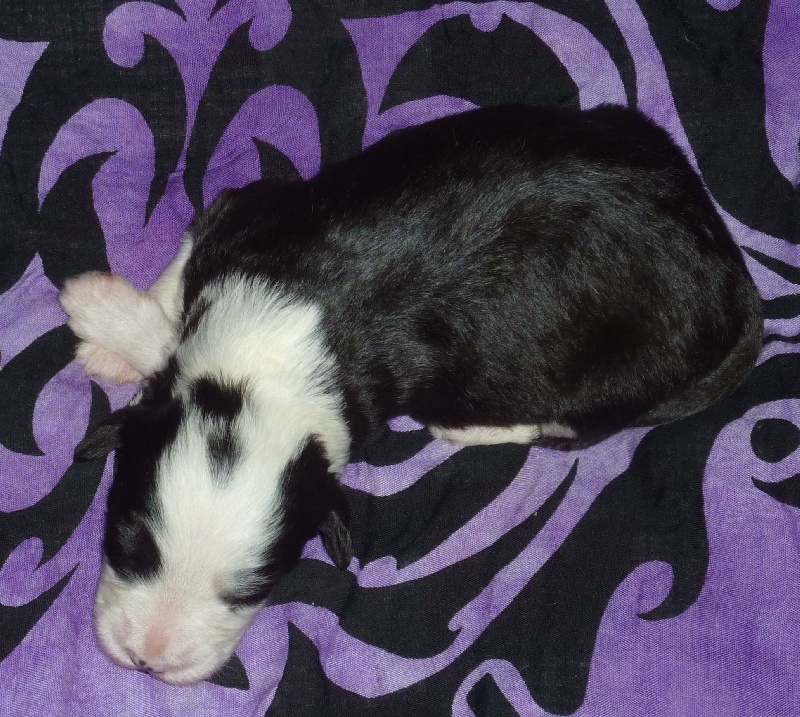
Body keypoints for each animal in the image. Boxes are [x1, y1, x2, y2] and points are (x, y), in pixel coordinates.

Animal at [59, 103, 762, 684]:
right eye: (124, 542)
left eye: (254, 589)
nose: (149, 661)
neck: (270, 363)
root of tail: (733, 276)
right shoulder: (244, 216)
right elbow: (183, 270)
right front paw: (111, 327)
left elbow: (168, 340)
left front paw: (107, 317)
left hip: (615, 376)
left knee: (564, 426)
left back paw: (476, 426)